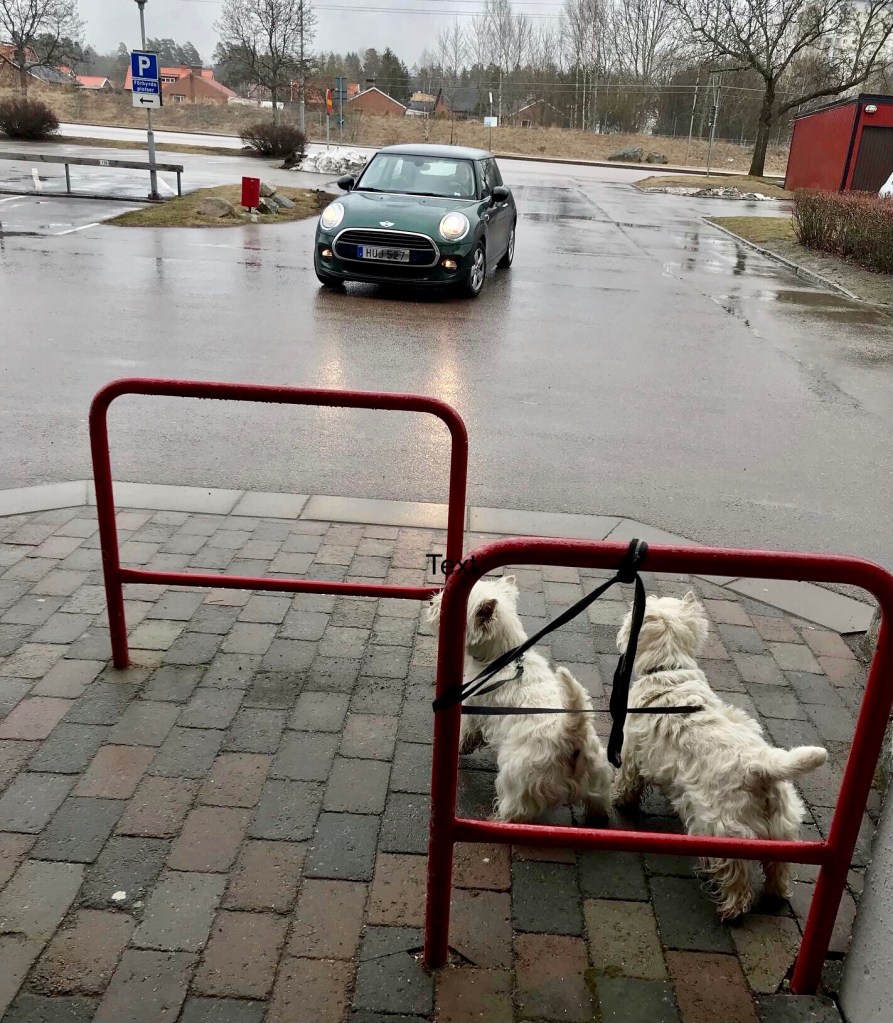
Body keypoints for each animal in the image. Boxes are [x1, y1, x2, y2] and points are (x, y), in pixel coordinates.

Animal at [428, 574, 612, 823]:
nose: (432, 601)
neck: (502, 656)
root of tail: (571, 735)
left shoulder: (474, 707)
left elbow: (467, 732)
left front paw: (459, 748)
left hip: (519, 775)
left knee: (515, 807)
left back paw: (497, 820)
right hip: (596, 774)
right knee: (599, 802)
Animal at [614, 591, 827, 918]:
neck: (669, 669)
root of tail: (760, 768)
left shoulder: (631, 750)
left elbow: (627, 781)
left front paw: (620, 801)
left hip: (720, 824)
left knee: (735, 872)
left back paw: (731, 908)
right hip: (783, 824)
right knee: (778, 863)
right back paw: (777, 894)